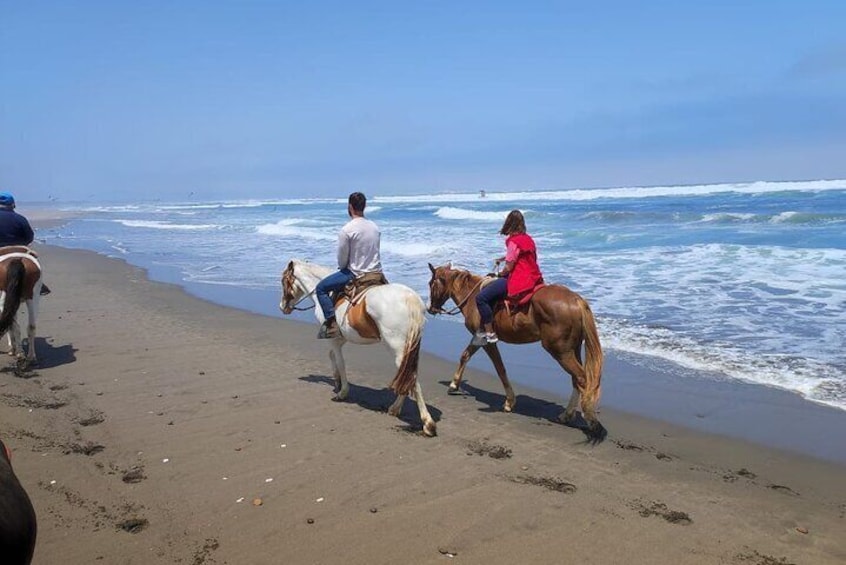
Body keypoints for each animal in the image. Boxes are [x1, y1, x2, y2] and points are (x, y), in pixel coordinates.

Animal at [280, 258, 438, 436]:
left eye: (284, 281)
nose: (282, 306)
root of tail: (410, 298)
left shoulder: (334, 340)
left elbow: (340, 362)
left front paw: (342, 392)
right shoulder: (340, 338)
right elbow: (331, 356)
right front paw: (336, 381)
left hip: (397, 348)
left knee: (411, 379)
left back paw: (427, 424)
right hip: (409, 348)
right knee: (407, 376)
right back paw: (395, 409)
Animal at [428, 262, 608, 442]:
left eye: (431, 284)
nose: (431, 309)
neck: (472, 298)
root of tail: (576, 300)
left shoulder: (487, 342)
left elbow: (500, 368)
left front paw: (509, 401)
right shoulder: (478, 338)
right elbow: (465, 356)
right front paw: (454, 385)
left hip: (560, 351)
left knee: (582, 378)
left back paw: (590, 420)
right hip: (572, 349)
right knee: (576, 379)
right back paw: (567, 415)